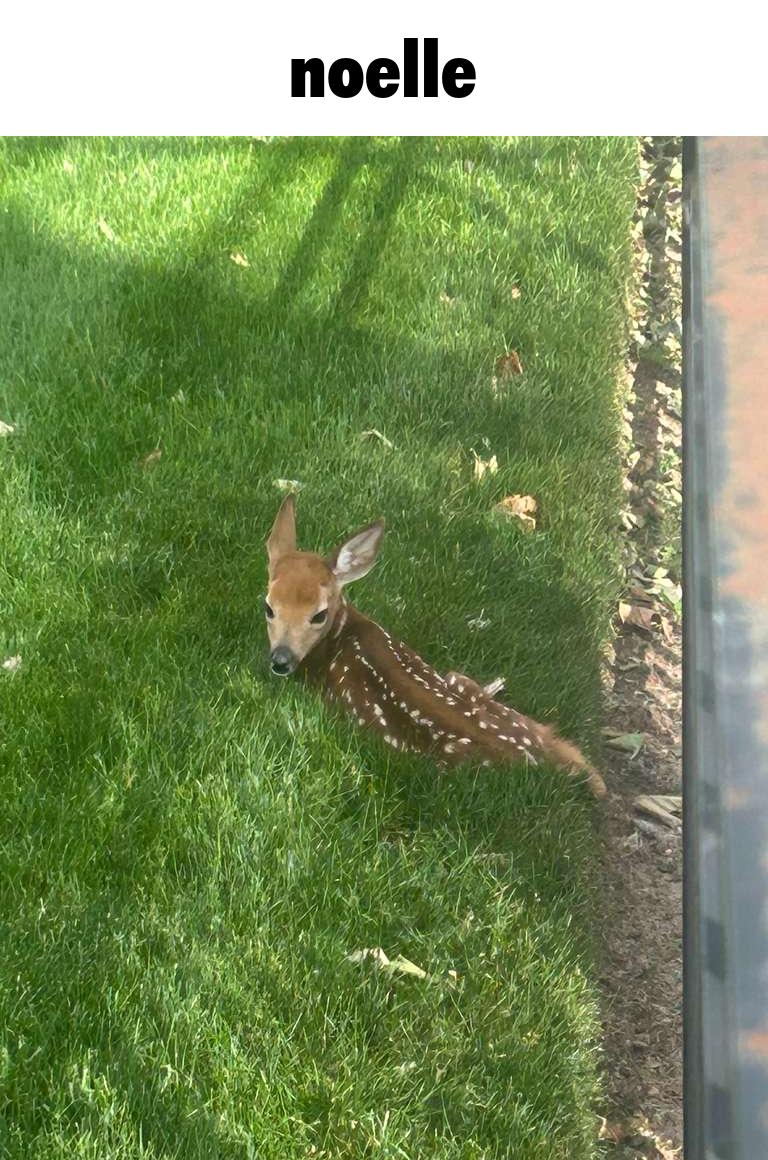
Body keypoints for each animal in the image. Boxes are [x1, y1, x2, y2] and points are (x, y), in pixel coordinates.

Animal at [264, 495, 607, 799]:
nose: (280, 660)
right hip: (467, 685)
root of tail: (539, 754)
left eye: (318, 615)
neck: (341, 636)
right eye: (268, 607)